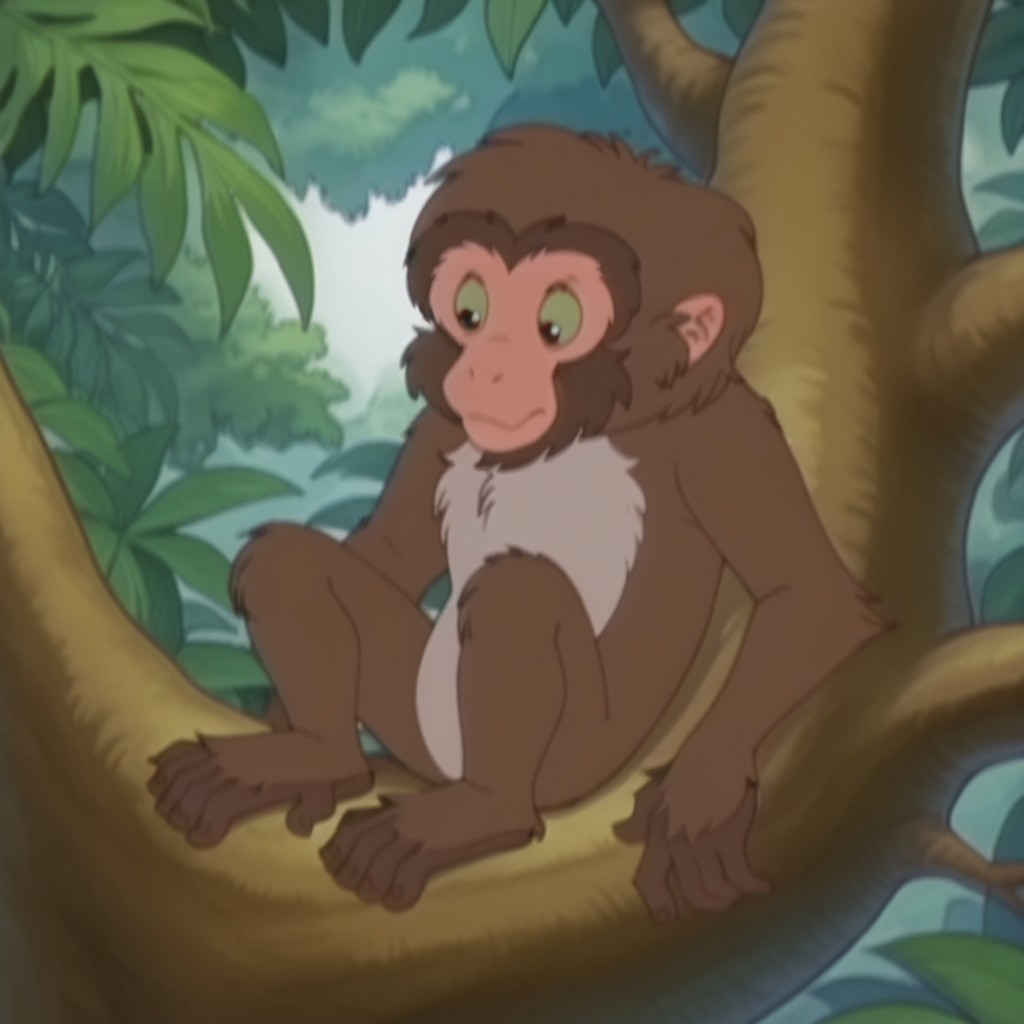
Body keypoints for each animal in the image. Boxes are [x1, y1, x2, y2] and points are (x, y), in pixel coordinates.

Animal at [148, 126, 887, 921]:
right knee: (291, 561)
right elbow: (387, 555)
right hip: (413, 706)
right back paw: (319, 755)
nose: (486, 369)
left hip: (572, 756)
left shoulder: (724, 433)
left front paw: (702, 790)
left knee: (517, 596)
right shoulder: (442, 427)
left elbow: (809, 593)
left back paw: (481, 810)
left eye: (556, 326)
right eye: (471, 311)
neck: (587, 428)